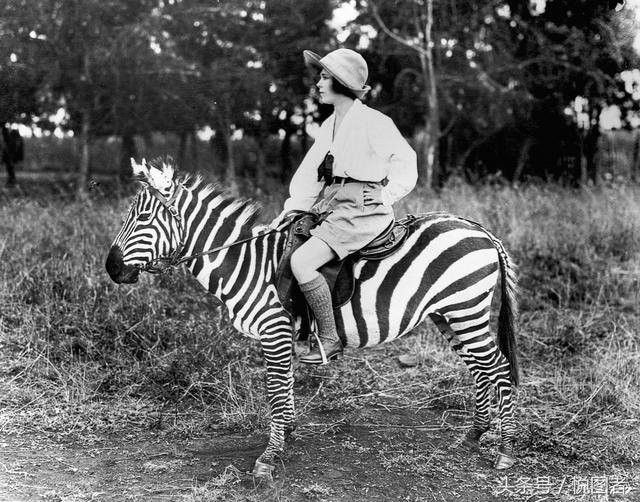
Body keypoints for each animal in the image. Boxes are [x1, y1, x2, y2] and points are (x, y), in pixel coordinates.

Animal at [105, 157, 520, 475]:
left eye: (143, 217)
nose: (111, 269)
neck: (249, 263)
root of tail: (482, 230)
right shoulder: (283, 333)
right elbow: (284, 387)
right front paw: (286, 434)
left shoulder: (274, 328)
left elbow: (274, 391)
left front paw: (268, 458)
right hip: (448, 313)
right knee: (479, 369)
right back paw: (472, 436)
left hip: (465, 308)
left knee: (498, 367)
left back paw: (505, 450)